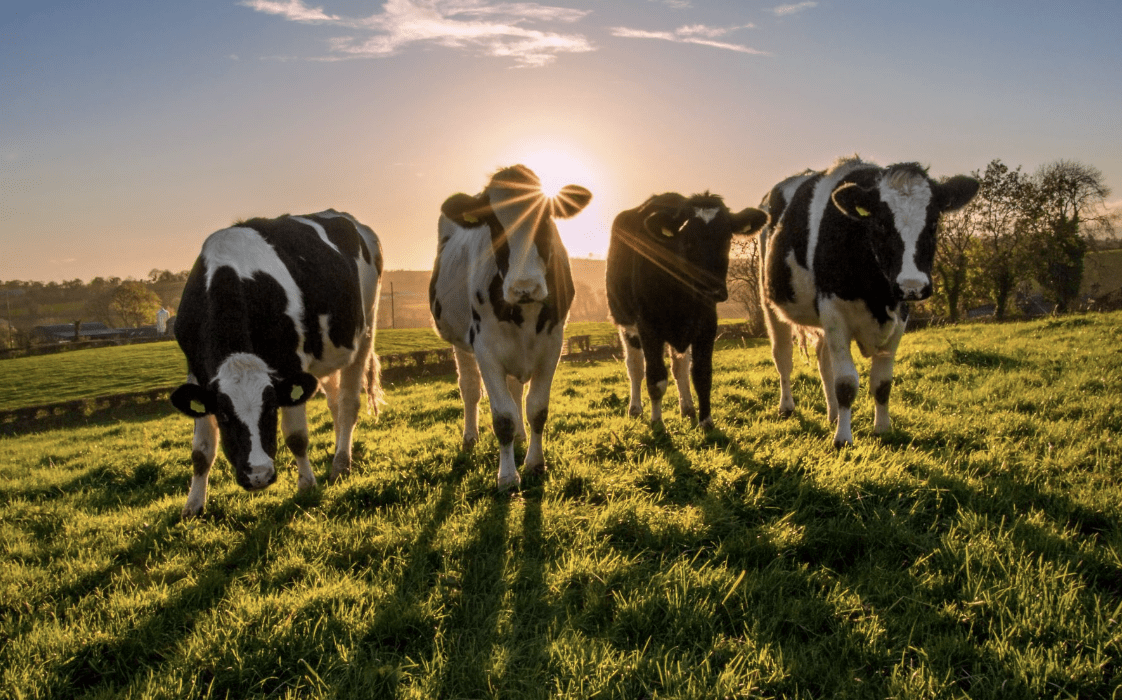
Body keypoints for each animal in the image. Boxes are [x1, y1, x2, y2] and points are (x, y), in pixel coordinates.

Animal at [171, 209, 383, 516]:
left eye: (271, 409)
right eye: (224, 415)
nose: (258, 475)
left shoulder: (291, 365)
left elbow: (296, 436)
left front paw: (306, 485)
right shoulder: (198, 374)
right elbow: (201, 449)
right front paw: (193, 505)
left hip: (365, 328)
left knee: (347, 403)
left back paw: (341, 462)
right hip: (328, 353)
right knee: (334, 402)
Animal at [430, 165, 592, 490]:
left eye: (547, 217)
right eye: (493, 223)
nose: (524, 287)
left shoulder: (552, 345)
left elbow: (537, 408)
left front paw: (535, 463)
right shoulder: (485, 349)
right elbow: (503, 416)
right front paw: (507, 477)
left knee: (516, 390)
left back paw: (520, 436)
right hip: (460, 341)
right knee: (469, 389)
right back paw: (470, 437)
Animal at [606, 192, 769, 429]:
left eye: (726, 239)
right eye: (688, 241)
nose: (712, 289)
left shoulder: (706, 325)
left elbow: (701, 374)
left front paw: (706, 421)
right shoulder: (648, 327)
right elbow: (655, 378)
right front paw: (658, 423)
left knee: (679, 367)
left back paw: (687, 407)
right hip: (625, 322)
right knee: (635, 367)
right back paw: (635, 408)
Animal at [757, 156, 979, 447]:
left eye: (933, 222)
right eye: (881, 224)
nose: (912, 285)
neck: (877, 294)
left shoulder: (900, 316)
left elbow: (882, 383)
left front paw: (882, 428)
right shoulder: (834, 311)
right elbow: (846, 382)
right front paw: (843, 438)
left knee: (823, 361)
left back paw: (832, 414)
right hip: (770, 304)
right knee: (783, 356)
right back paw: (787, 406)